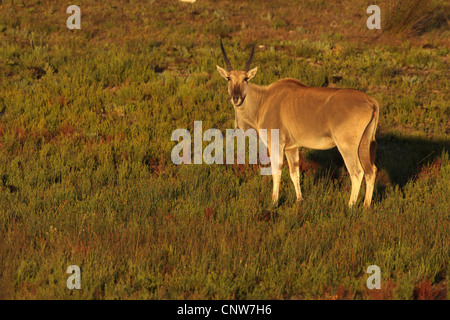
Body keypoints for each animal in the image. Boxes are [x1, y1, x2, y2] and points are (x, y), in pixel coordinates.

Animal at [216, 41, 378, 208]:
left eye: (245, 79)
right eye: (228, 78)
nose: (236, 98)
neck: (264, 100)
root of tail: (370, 101)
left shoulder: (276, 144)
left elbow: (277, 171)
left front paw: (274, 202)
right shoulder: (291, 148)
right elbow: (295, 173)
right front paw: (300, 200)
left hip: (347, 147)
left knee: (357, 172)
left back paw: (350, 206)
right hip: (364, 144)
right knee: (371, 171)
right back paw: (366, 206)